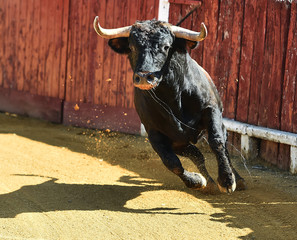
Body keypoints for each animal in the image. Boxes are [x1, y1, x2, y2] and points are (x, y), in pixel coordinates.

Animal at [94, 16, 245, 193]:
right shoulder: (155, 132)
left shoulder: (211, 110)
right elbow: (171, 162)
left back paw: (238, 179)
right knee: (196, 155)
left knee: (223, 146)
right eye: (131, 47)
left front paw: (227, 180)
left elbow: (217, 142)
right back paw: (208, 182)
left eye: (166, 47)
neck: (173, 98)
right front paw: (196, 181)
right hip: (181, 143)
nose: (144, 77)